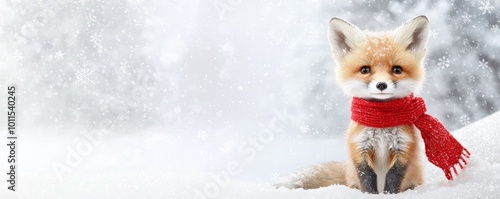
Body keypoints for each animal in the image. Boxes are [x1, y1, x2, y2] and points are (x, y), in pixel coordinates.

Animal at [276, 15, 432, 194]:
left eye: (397, 70)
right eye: (365, 70)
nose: (381, 85)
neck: (381, 121)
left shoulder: (404, 147)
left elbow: (394, 176)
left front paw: (389, 194)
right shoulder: (359, 146)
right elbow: (367, 176)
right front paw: (370, 195)